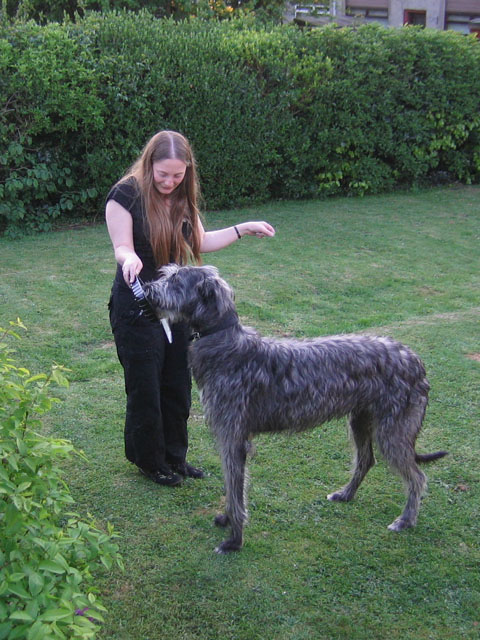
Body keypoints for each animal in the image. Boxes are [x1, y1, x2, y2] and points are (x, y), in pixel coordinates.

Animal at [143, 264, 447, 553]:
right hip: (361, 420)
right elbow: (232, 486)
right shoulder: (230, 436)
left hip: (393, 430)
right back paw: (345, 494)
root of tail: (416, 361)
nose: (145, 288)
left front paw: (234, 540)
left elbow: (235, 487)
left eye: (176, 281)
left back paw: (405, 520)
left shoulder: (233, 437)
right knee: (366, 460)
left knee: (417, 477)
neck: (225, 342)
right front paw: (227, 520)